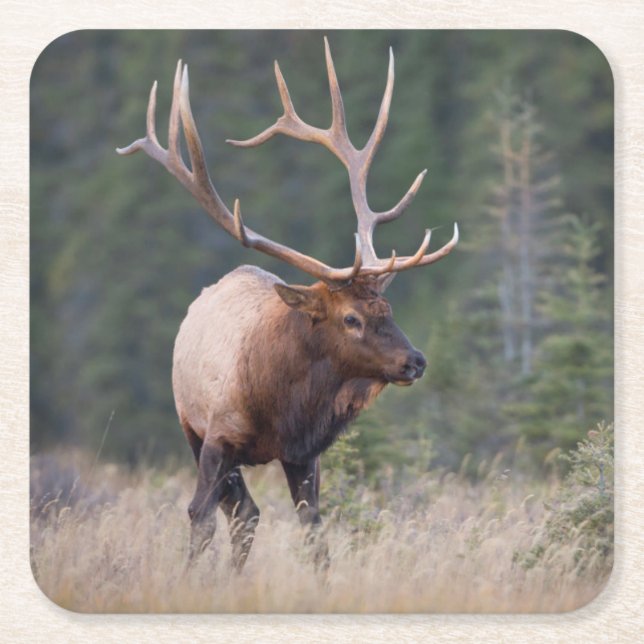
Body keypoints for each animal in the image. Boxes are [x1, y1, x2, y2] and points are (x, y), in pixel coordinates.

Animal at [117, 38, 458, 571]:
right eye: (351, 317)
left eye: (389, 311)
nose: (415, 361)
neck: (280, 405)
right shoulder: (216, 437)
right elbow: (199, 517)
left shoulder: (304, 453)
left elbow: (314, 532)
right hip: (190, 426)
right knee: (236, 512)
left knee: (248, 513)